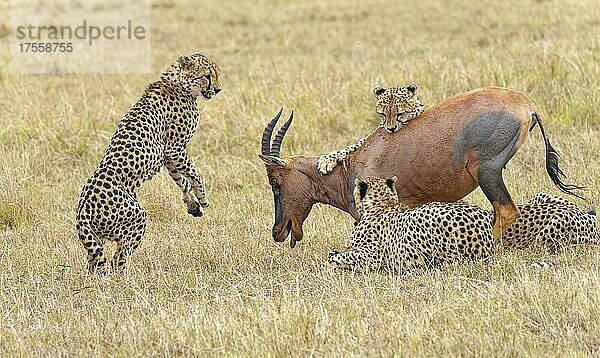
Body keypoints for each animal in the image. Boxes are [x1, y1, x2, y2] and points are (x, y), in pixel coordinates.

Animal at [76, 51, 221, 272]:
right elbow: (194, 174)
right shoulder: (174, 149)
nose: (218, 89)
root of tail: (83, 211)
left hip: (95, 239)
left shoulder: (169, 156)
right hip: (136, 218)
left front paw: (193, 205)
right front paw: (202, 197)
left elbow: (182, 180)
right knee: (119, 259)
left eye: (217, 74)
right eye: (207, 75)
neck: (177, 84)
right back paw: (127, 276)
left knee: (96, 263)